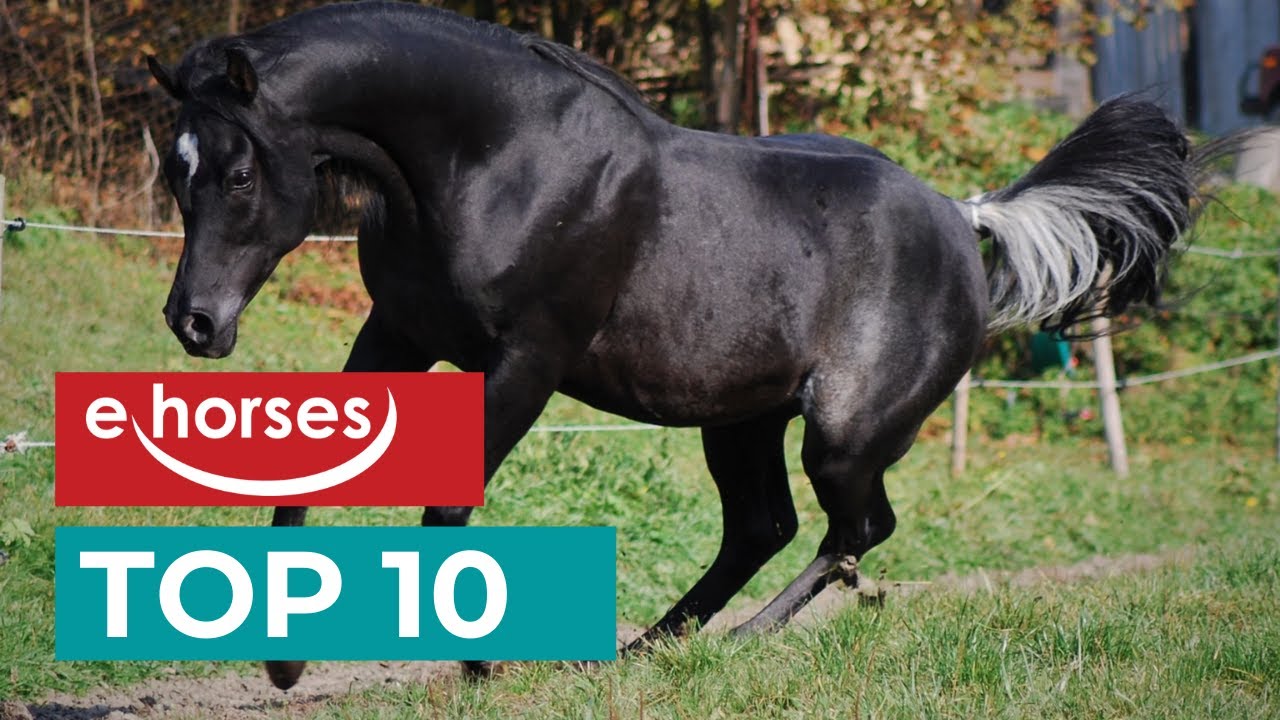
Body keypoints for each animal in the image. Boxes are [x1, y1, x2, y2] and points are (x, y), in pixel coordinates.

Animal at [147, 1, 1208, 690]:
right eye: (176, 169)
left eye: (238, 172)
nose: (195, 322)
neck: (493, 159)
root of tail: (964, 214)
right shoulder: (400, 334)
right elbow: (317, 472)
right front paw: (284, 661)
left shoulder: (526, 361)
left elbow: (450, 500)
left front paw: (478, 667)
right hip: (740, 419)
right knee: (765, 527)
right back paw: (647, 650)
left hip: (844, 433)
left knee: (854, 530)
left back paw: (736, 644)